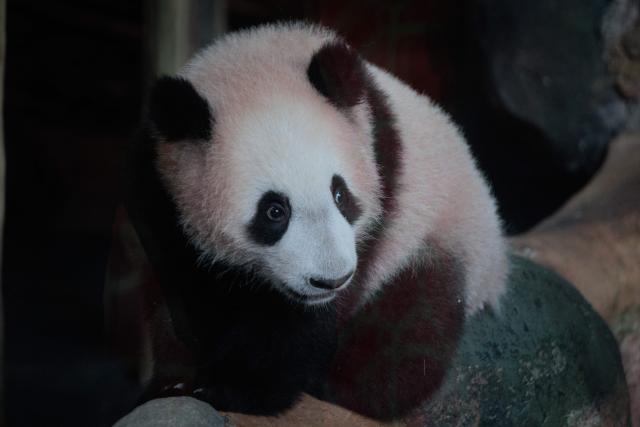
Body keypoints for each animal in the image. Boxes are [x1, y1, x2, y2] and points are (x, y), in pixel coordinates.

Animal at [125, 22, 508, 417]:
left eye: (340, 195)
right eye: (274, 211)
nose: (330, 279)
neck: (253, 67)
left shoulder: (379, 179)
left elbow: (301, 326)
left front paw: (236, 388)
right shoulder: (157, 185)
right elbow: (174, 283)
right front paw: (173, 381)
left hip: (438, 235)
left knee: (414, 321)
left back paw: (348, 384)